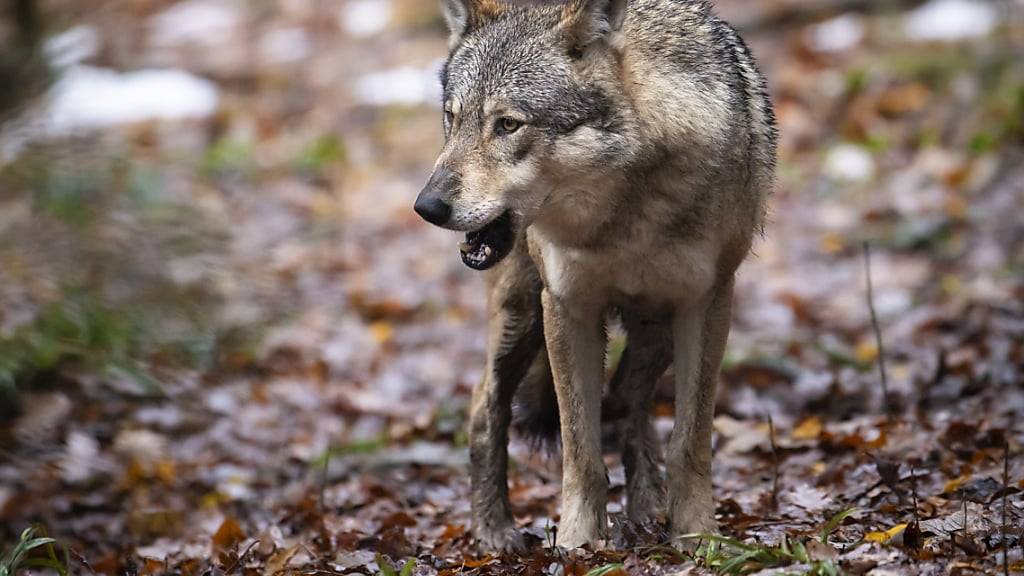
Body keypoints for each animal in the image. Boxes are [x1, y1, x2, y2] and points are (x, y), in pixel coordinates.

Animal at [411, 0, 770, 549]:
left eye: (508, 124)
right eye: (453, 119)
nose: (427, 207)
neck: (625, 213)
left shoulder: (707, 302)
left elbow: (690, 441)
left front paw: (697, 537)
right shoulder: (567, 306)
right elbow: (580, 450)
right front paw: (578, 545)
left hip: (654, 331)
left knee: (627, 400)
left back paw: (646, 506)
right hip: (521, 316)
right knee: (485, 405)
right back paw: (494, 532)